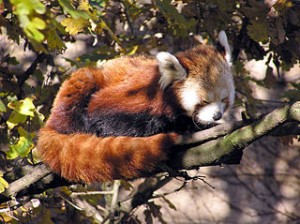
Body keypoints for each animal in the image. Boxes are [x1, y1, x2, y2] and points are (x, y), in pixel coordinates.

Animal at [37, 30, 234, 183]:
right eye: (204, 101)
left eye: (224, 99)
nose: (217, 115)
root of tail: (51, 121)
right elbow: (107, 118)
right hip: (77, 92)